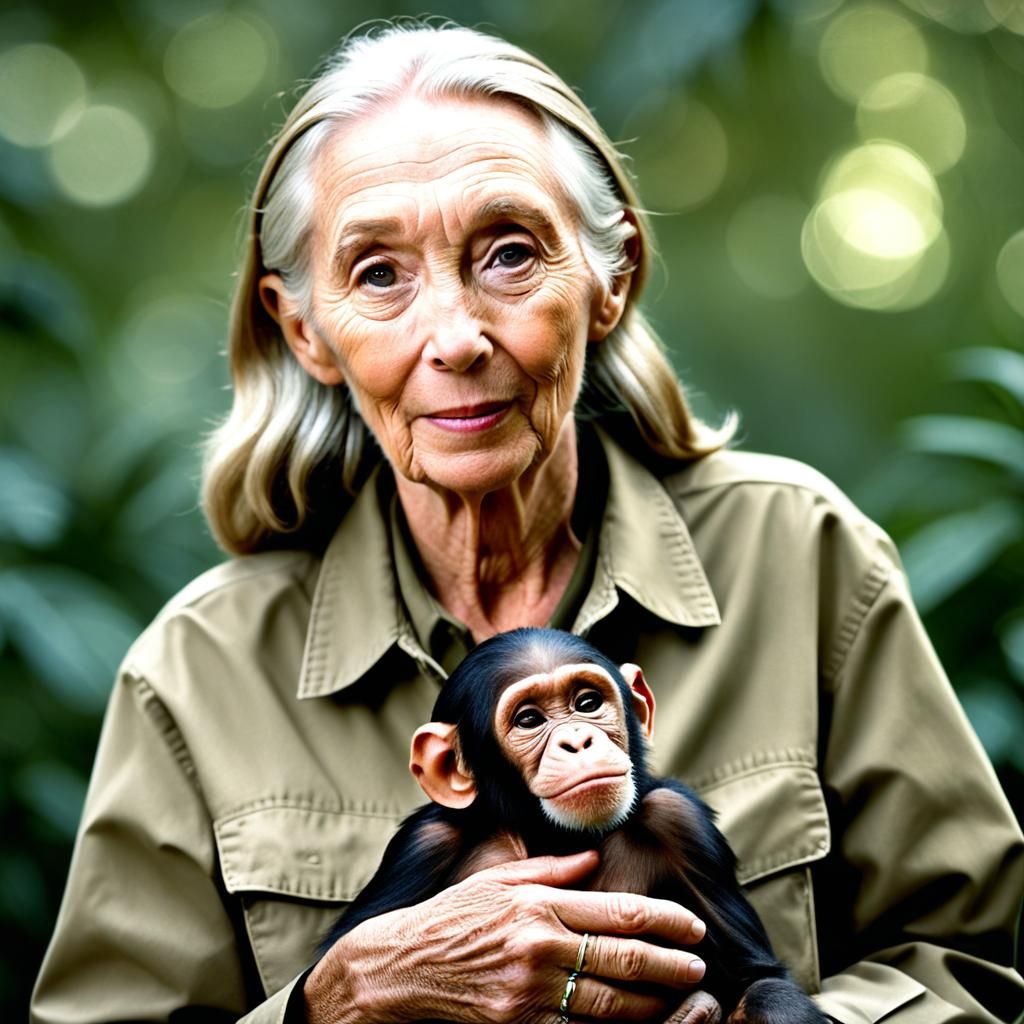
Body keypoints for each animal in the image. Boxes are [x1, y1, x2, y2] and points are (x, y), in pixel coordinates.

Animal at [321, 628, 827, 1023]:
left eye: (587, 702)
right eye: (529, 719)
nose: (578, 740)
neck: (555, 836)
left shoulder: (682, 823)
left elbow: (756, 980)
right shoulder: (422, 846)